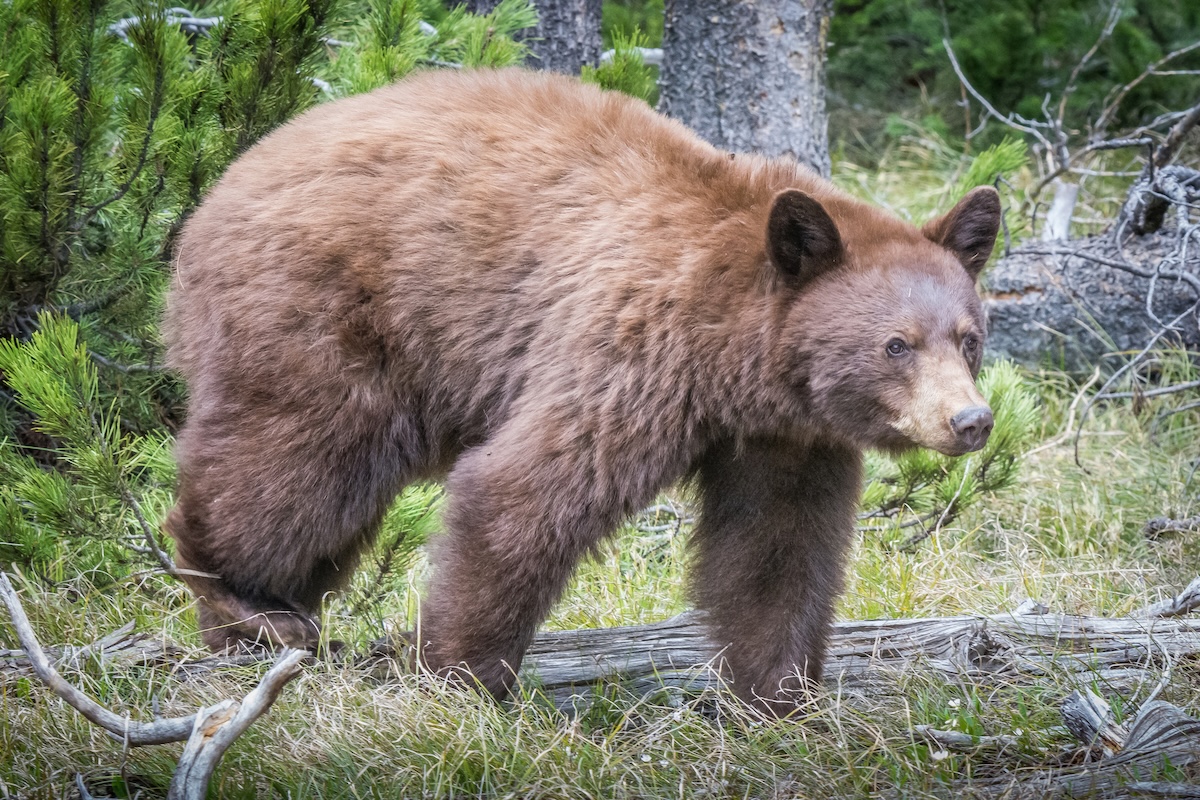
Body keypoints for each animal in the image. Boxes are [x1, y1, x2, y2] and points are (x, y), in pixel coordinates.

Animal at [163, 67, 1000, 715]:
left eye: (968, 337)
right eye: (896, 344)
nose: (971, 420)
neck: (736, 359)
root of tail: (222, 183)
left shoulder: (789, 437)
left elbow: (777, 547)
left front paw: (779, 695)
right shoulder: (632, 349)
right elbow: (525, 492)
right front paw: (459, 677)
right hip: (323, 314)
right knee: (295, 464)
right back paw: (245, 608)